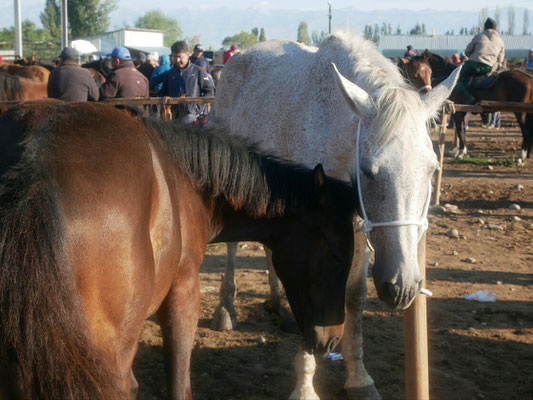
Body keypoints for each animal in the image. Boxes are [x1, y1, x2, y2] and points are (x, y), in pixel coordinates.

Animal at [0, 101, 358, 400]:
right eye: (338, 256)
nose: (332, 338)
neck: (187, 179)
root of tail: (36, 167)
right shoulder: (183, 293)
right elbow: (178, 383)